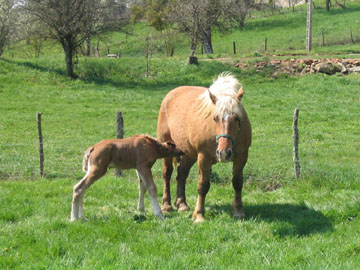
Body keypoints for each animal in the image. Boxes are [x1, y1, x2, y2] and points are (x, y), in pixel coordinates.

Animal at [156, 73, 252, 223]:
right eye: (215, 118)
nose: (224, 153)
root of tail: (171, 94)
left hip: (189, 154)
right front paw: (199, 215)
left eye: (237, 118)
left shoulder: (242, 157)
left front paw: (238, 211)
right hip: (167, 147)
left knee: (182, 173)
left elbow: (237, 183)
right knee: (167, 173)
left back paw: (182, 204)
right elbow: (203, 186)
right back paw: (166, 205)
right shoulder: (204, 157)